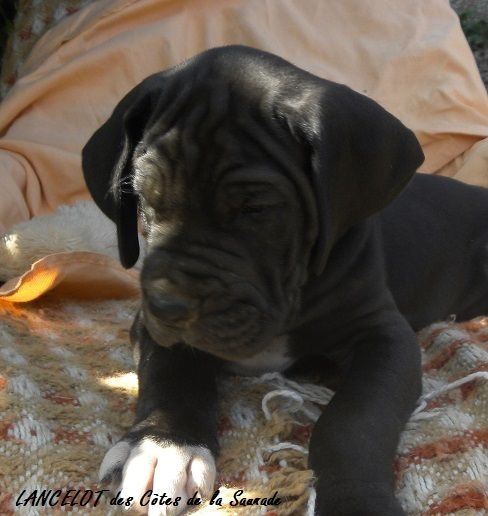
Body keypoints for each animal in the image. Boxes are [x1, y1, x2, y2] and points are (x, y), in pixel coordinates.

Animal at [82, 45, 488, 515]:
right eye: (144, 199)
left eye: (255, 209)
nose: (169, 306)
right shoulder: (149, 324)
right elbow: (169, 369)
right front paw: (164, 445)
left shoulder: (385, 336)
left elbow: (353, 422)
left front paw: (356, 499)